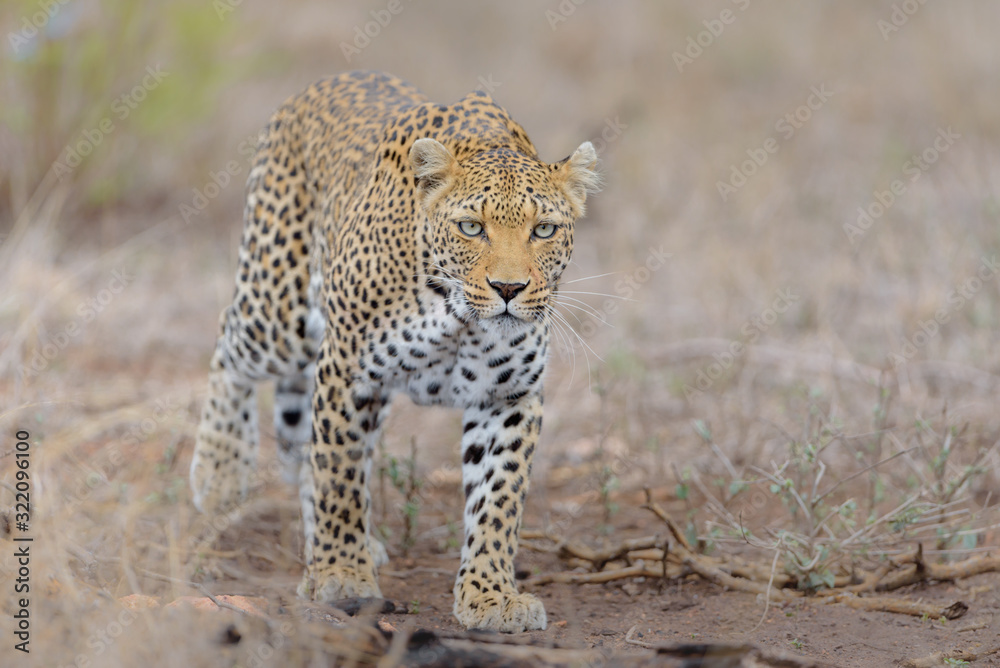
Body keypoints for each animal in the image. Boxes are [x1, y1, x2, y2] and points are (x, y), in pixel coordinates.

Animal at [190, 70, 596, 636]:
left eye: (544, 230)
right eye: (471, 227)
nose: (509, 289)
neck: (456, 315)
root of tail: (325, 81)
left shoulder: (508, 396)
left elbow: (498, 500)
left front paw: (491, 596)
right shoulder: (346, 372)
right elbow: (339, 474)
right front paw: (341, 575)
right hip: (279, 309)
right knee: (229, 341)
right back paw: (220, 472)